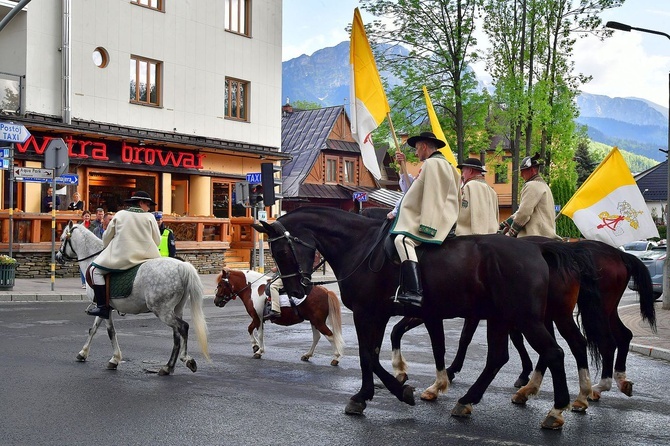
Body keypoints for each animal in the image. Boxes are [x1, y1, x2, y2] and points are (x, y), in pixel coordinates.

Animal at [56, 221, 211, 374]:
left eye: (62, 239)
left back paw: (186, 360)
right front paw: (83, 353)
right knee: (176, 335)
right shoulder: (104, 308)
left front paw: (114, 359)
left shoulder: (104, 308)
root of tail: (181, 265)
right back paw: (168, 367)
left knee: (183, 327)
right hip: (176, 309)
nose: (57, 257)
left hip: (162, 311)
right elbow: (93, 329)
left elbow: (110, 332)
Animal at [214, 266, 344, 364]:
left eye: (220, 284)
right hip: (314, 321)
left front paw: (259, 351)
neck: (253, 288)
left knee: (330, 335)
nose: (216, 301)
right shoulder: (257, 317)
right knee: (317, 337)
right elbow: (250, 329)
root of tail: (326, 291)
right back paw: (307, 355)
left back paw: (336, 358)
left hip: (318, 321)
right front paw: (255, 346)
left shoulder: (257, 317)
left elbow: (259, 334)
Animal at [255, 207, 596, 430]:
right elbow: (375, 354)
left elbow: (368, 354)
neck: (360, 247)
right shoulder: (387, 315)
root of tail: (538, 250)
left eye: (282, 251)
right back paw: (468, 400)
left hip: (527, 318)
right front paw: (382, 390)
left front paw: (387, 393)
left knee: (555, 352)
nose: (296, 290)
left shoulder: (370, 313)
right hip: (504, 318)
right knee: (500, 357)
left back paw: (557, 409)